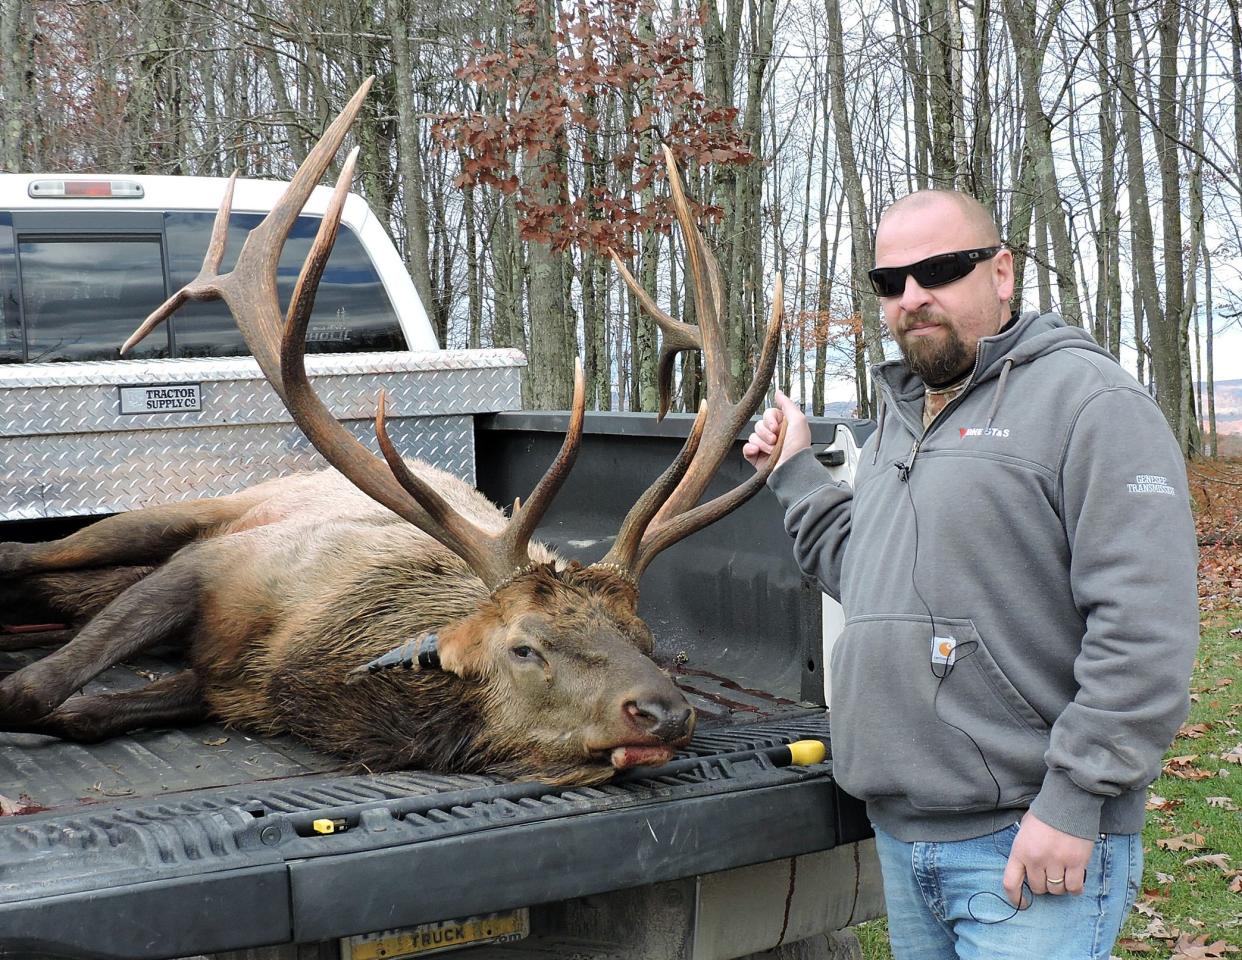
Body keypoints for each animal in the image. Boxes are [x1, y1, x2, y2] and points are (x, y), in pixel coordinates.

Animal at [0, 80, 784, 784]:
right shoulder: (217, 566)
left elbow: (82, 713)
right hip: (192, 514)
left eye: (643, 637)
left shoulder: (226, 685)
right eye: (525, 647)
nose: (665, 712)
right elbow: (33, 689)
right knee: (32, 556)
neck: (302, 654)